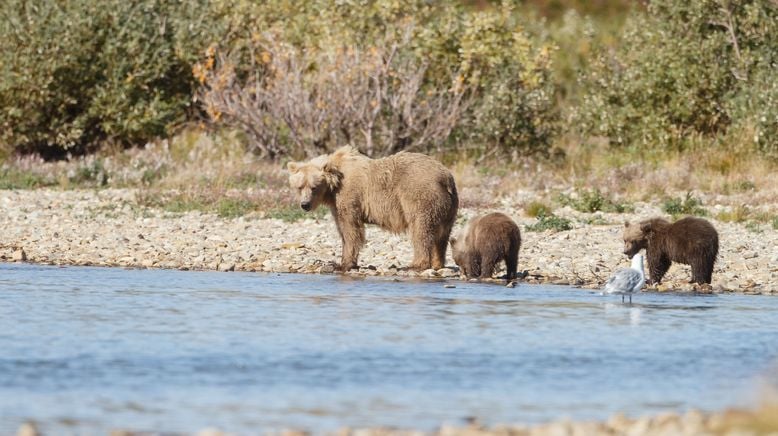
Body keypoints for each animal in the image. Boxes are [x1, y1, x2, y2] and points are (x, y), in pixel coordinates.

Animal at [284, 146, 454, 272]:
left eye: (314, 187)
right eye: (300, 186)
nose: (305, 204)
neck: (333, 187)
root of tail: (446, 176)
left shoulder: (349, 194)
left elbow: (350, 228)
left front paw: (343, 264)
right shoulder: (335, 204)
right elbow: (342, 230)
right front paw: (339, 261)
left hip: (419, 195)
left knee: (420, 229)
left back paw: (414, 265)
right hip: (446, 207)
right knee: (442, 236)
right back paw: (438, 263)